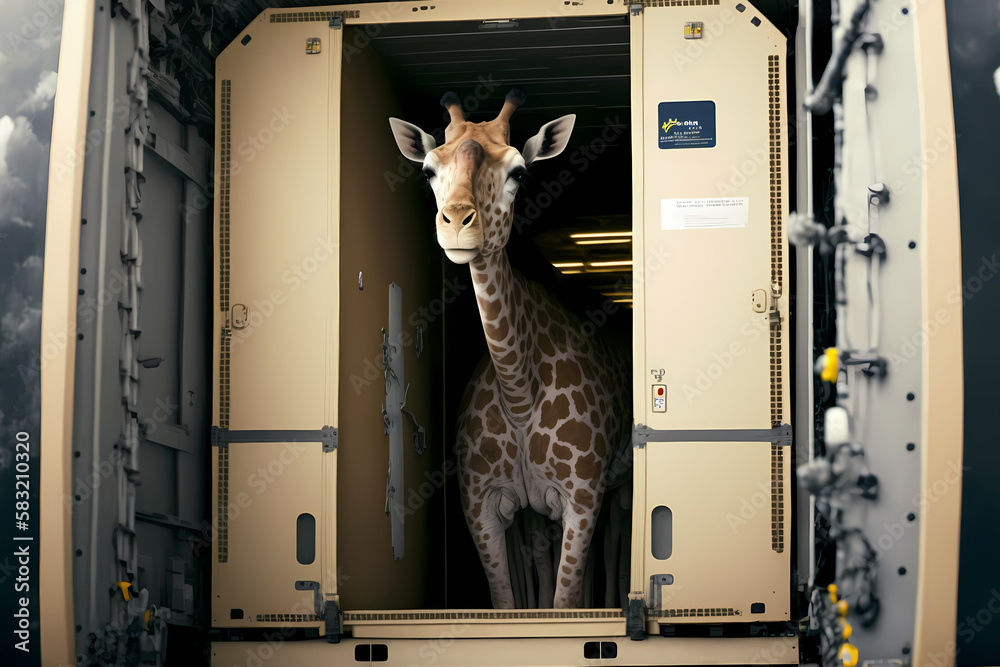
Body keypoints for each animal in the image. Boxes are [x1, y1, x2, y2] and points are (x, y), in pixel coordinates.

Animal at [390, 90, 632, 609]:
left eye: (519, 171)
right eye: (429, 170)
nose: (457, 224)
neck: (519, 391)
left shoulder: (583, 497)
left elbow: (565, 601)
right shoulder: (482, 505)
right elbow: (508, 601)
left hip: (617, 486)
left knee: (615, 542)